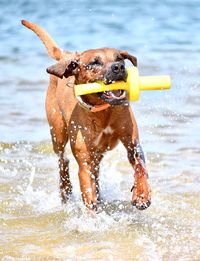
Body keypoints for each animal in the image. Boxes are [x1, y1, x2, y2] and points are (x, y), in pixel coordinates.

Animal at [21, 19, 150, 210]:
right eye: (95, 63)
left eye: (119, 58)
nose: (119, 67)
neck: (104, 110)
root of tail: (69, 56)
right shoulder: (84, 161)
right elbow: (88, 193)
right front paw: (92, 215)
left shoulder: (132, 142)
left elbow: (140, 165)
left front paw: (142, 194)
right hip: (57, 132)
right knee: (63, 161)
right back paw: (66, 191)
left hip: (98, 151)